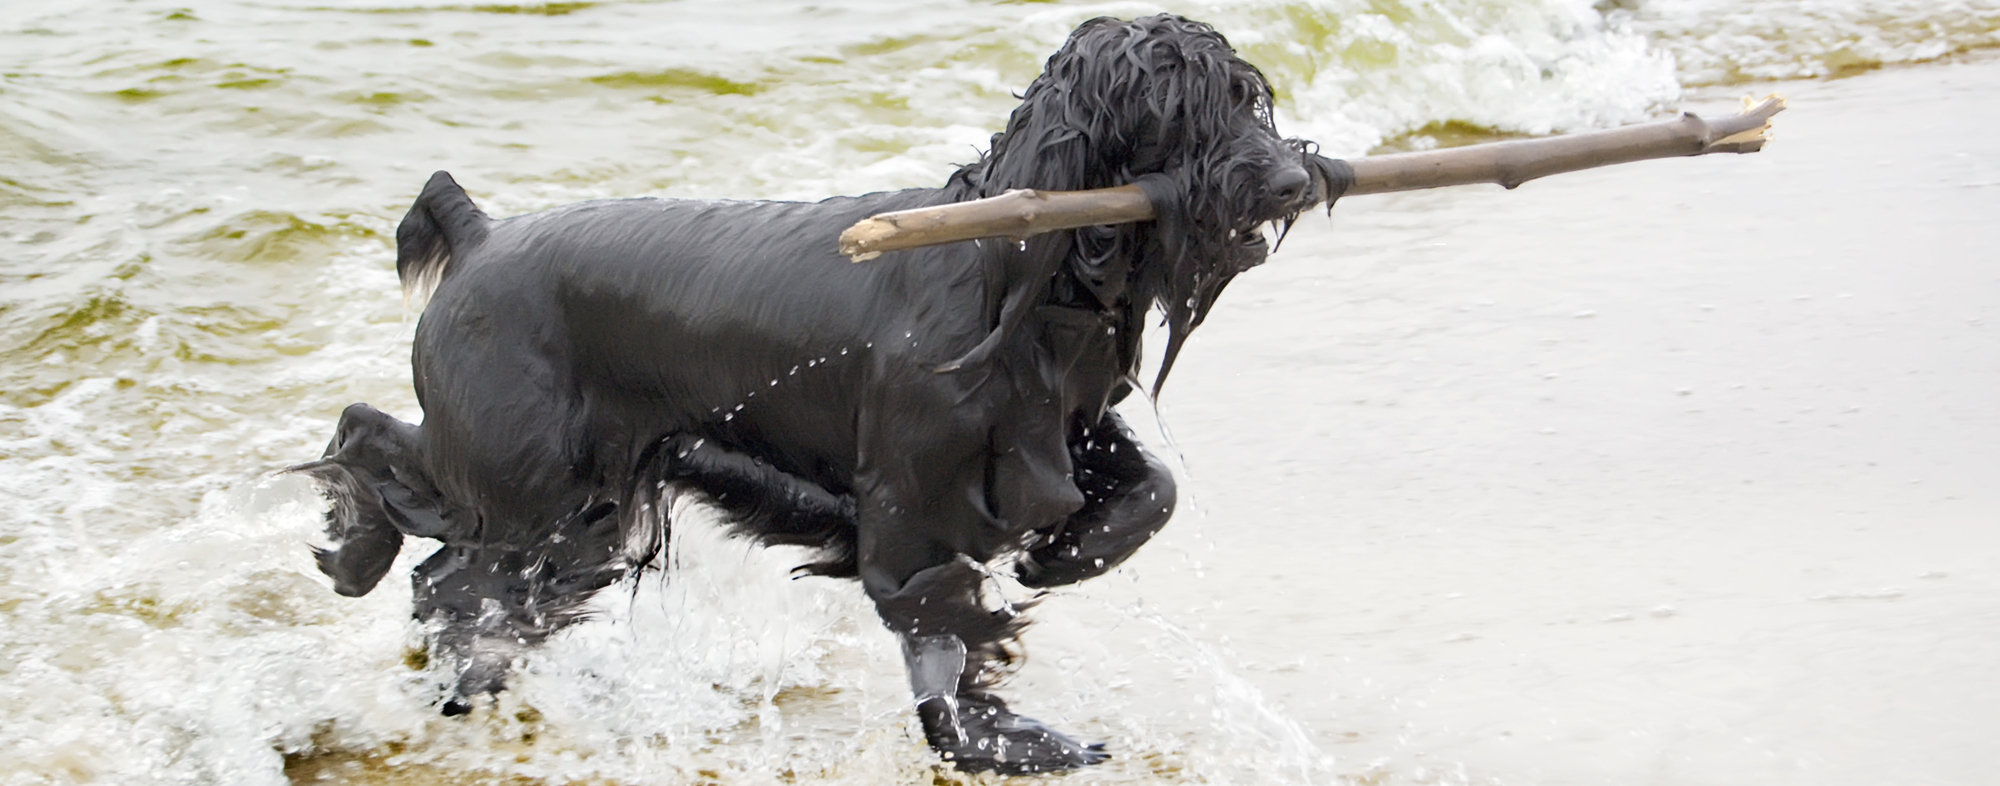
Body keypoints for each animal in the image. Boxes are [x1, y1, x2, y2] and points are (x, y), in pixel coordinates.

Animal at [292, 15, 1344, 776]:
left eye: (1249, 100)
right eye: (1179, 105)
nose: (1295, 178)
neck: (1017, 273)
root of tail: (478, 237)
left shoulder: (1066, 430)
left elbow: (1149, 490)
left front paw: (1065, 556)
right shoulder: (911, 506)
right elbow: (941, 621)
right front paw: (998, 743)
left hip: (577, 515)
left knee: (464, 582)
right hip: (527, 478)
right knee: (390, 482)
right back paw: (359, 557)